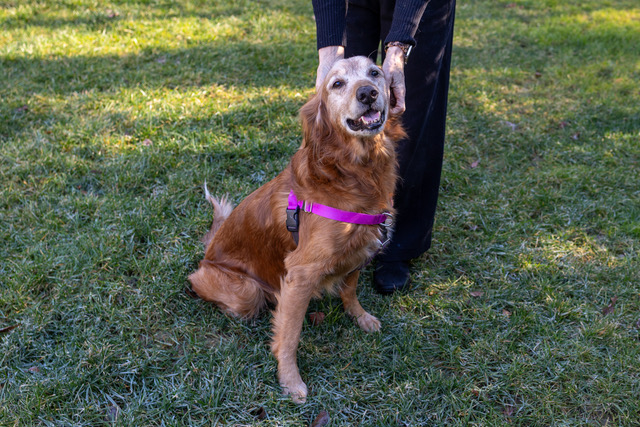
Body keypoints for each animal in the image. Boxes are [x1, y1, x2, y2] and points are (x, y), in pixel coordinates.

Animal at [189, 56, 405, 403]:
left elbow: (350, 289)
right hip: (244, 291)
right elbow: (290, 334)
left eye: (375, 73)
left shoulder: (360, 248)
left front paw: (360, 317)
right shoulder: (300, 273)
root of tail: (208, 252)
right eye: (337, 84)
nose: (368, 93)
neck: (354, 173)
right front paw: (290, 380)